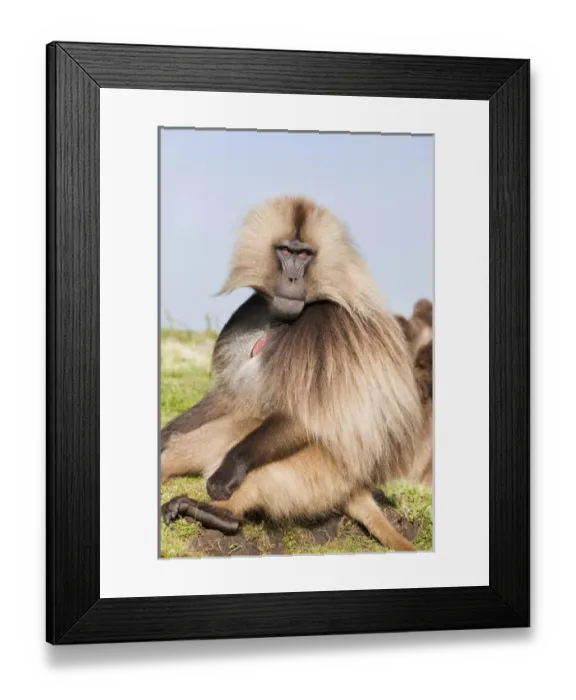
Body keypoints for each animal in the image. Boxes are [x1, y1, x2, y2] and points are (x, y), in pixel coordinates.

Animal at [160, 196, 426, 552]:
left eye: (305, 255)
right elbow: (227, 395)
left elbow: (302, 418)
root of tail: (357, 487)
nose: (291, 280)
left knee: (237, 433)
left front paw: (225, 474)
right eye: (286, 251)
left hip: (319, 474)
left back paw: (216, 514)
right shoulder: (250, 311)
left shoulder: (327, 327)